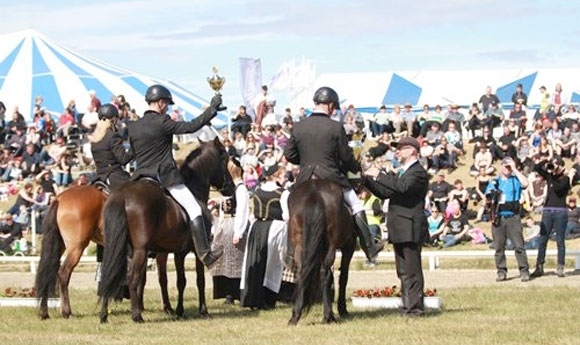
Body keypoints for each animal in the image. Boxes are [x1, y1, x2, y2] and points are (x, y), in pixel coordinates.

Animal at [98, 137, 234, 322]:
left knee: (110, 274)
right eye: (224, 161)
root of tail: (122, 195)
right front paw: (202, 310)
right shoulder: (196, 251)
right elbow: (199, 280)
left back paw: (104, 315)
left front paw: (179, 310)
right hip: (140, 250)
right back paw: (136, 315)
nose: (231, 188)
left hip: (118, 247)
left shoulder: (178, 253)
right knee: (132, 278)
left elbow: (180, 281)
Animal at [286, 179, 356, 324]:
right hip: (331, 246)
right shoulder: (349, 247)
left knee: (302, 272)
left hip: (300, 245)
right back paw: (329, 315)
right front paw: (342, 309)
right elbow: (343, 277)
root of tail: (314, 194)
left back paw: (295, 315)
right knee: (325, 273)